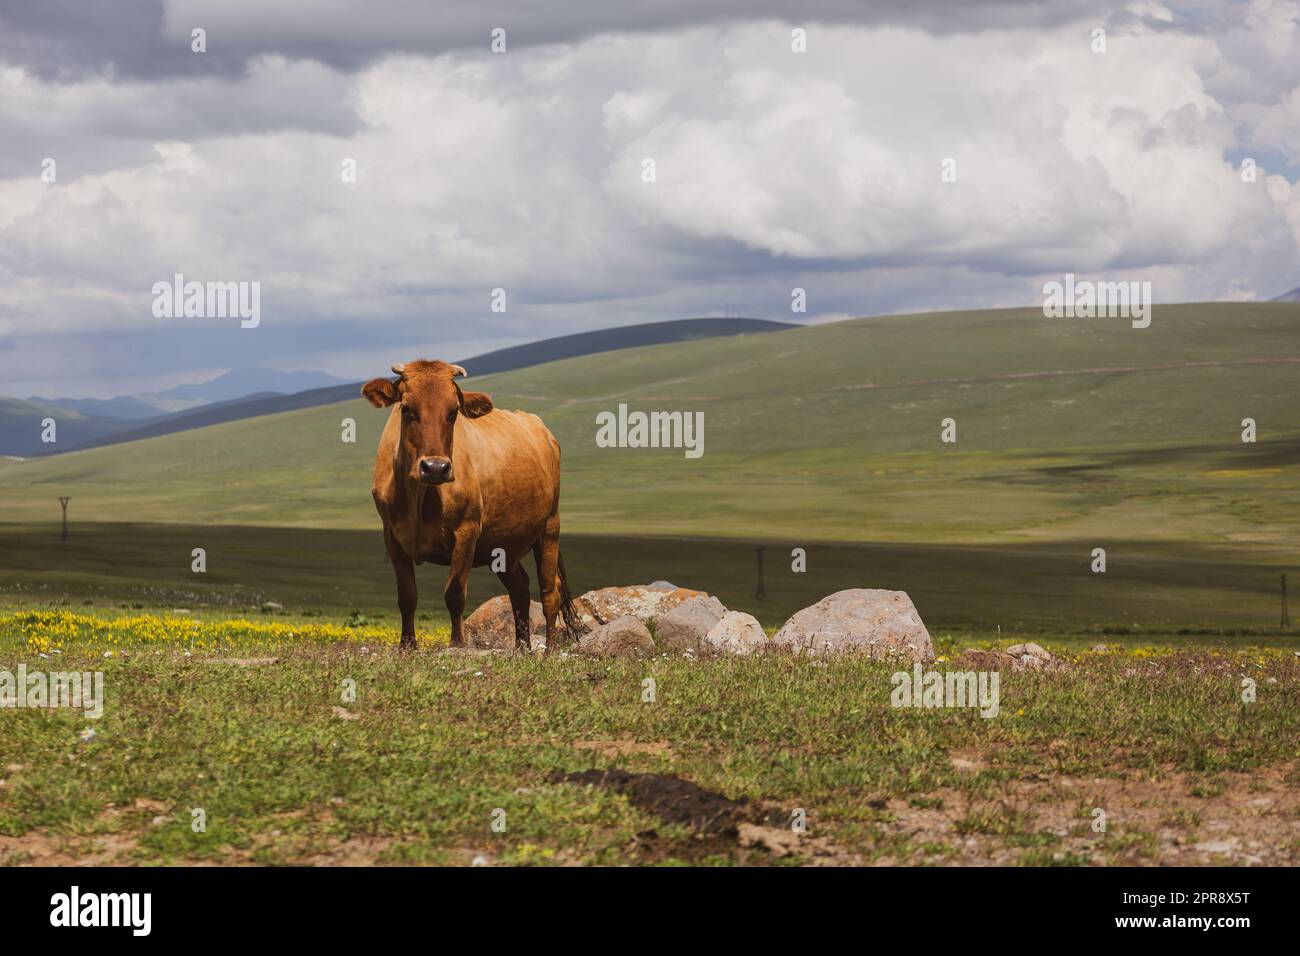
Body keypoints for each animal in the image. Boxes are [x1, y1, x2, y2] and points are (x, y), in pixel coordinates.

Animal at [361, 359, 583, 651]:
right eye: (406, 409)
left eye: (453, 412)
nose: (435, 467)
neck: (420, 495)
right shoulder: (393, 536)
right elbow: (407, 595)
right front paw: (407, 646)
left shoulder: (467, 531)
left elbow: (454, 593)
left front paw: (457, 644)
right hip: (504, 544)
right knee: (520, 588)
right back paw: (521, 648)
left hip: (549, 526)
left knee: (549, 591)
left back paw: (549, 650)